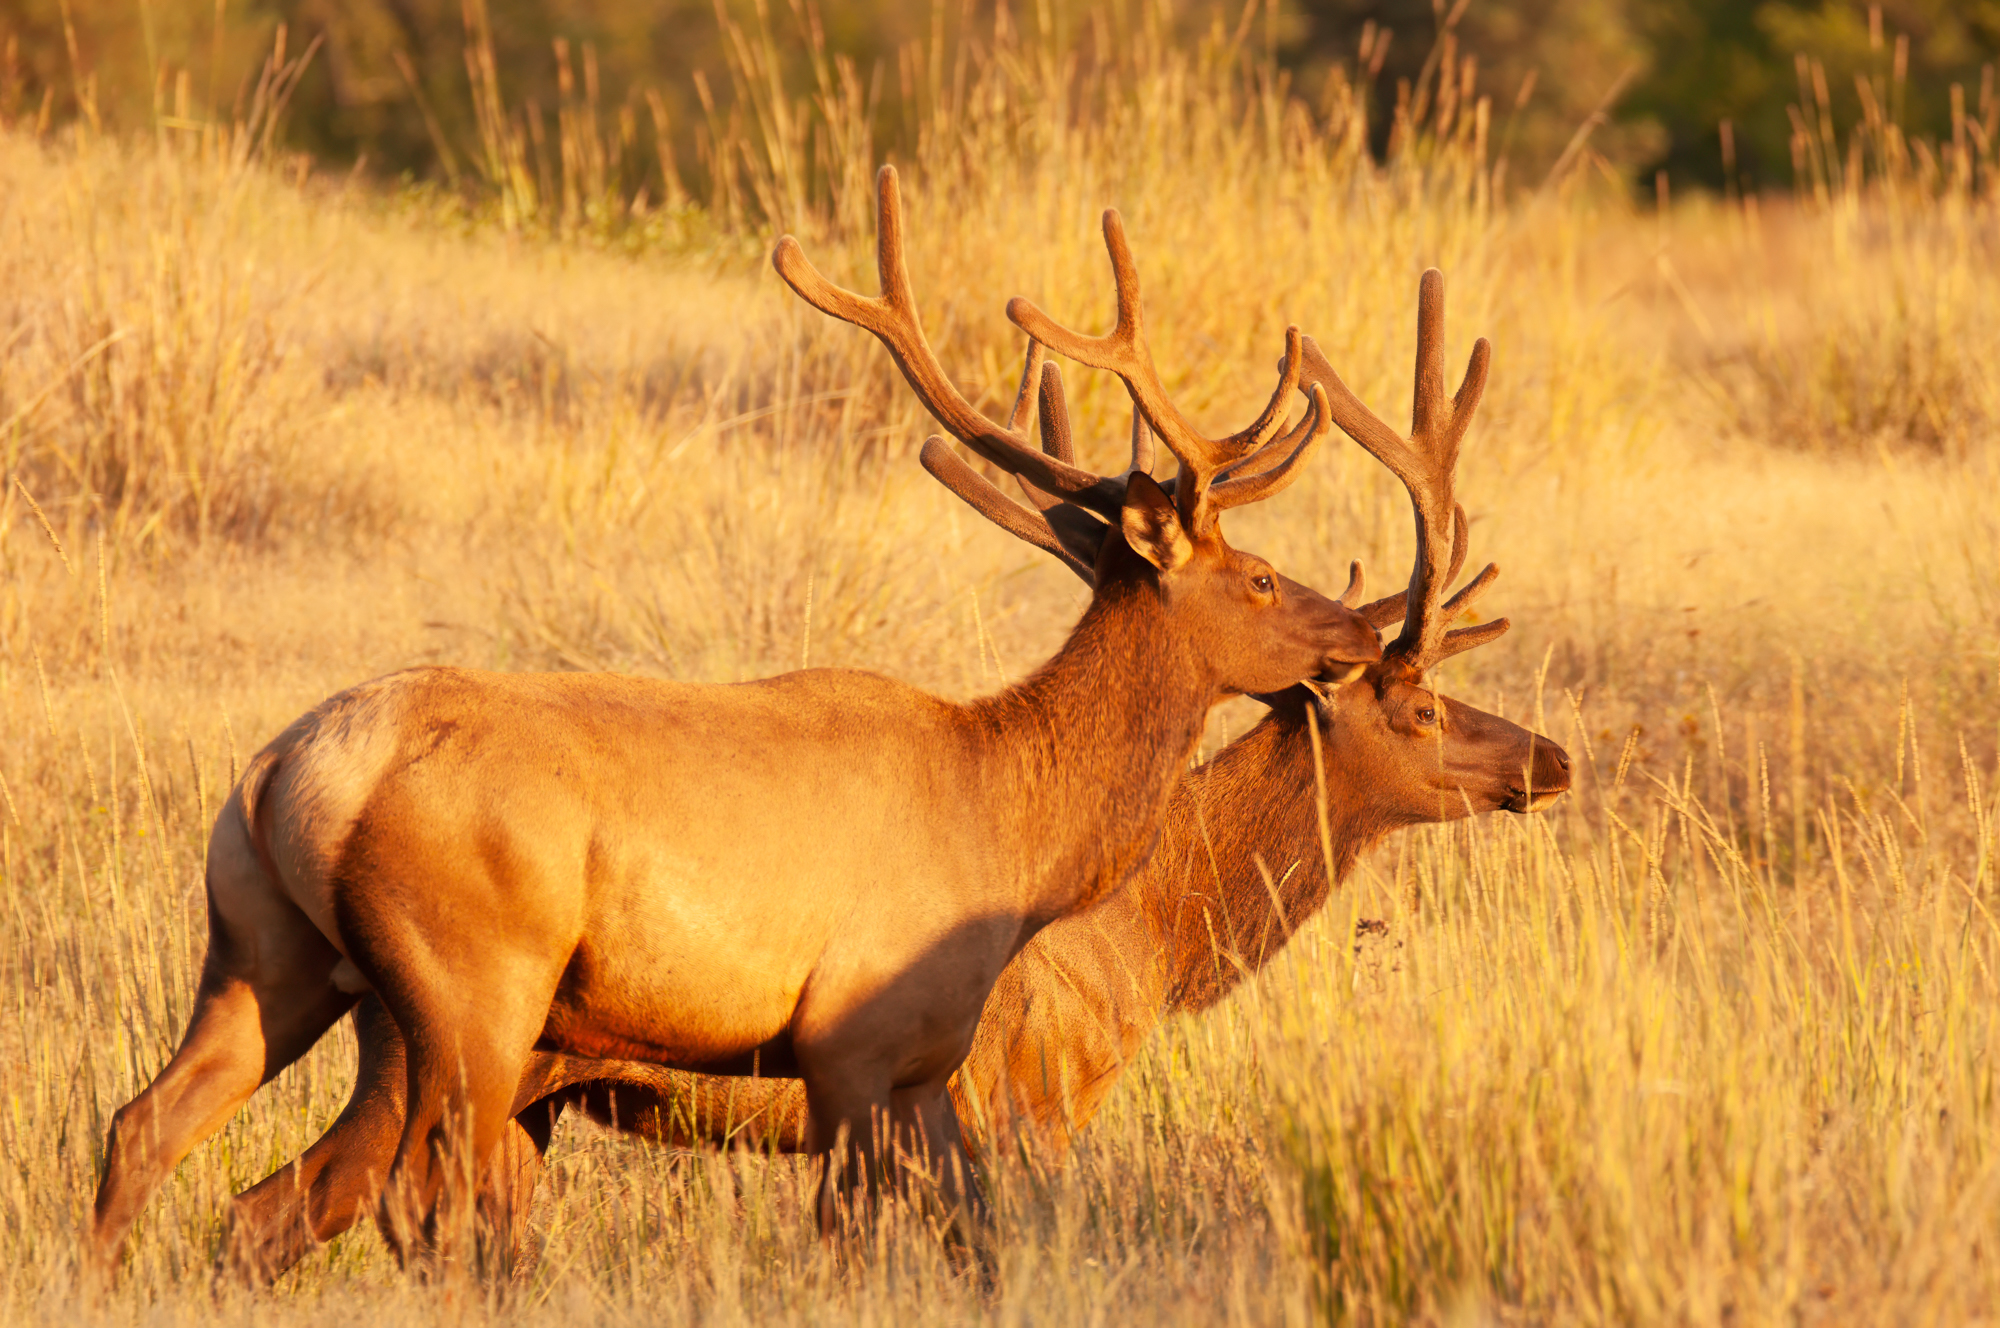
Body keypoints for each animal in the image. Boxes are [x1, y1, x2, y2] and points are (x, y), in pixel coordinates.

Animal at [86, 169, 1384, 1280]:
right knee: (407, 1193)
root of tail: (293, 769)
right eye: (1259, 576)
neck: (1018, 826)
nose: (1363, 640)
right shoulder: (856, 1036)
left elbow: (975, 1233)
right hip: (467, 976)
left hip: (263, 944)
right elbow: (852, 1236)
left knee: (152, 1128)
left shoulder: (926, 1063)